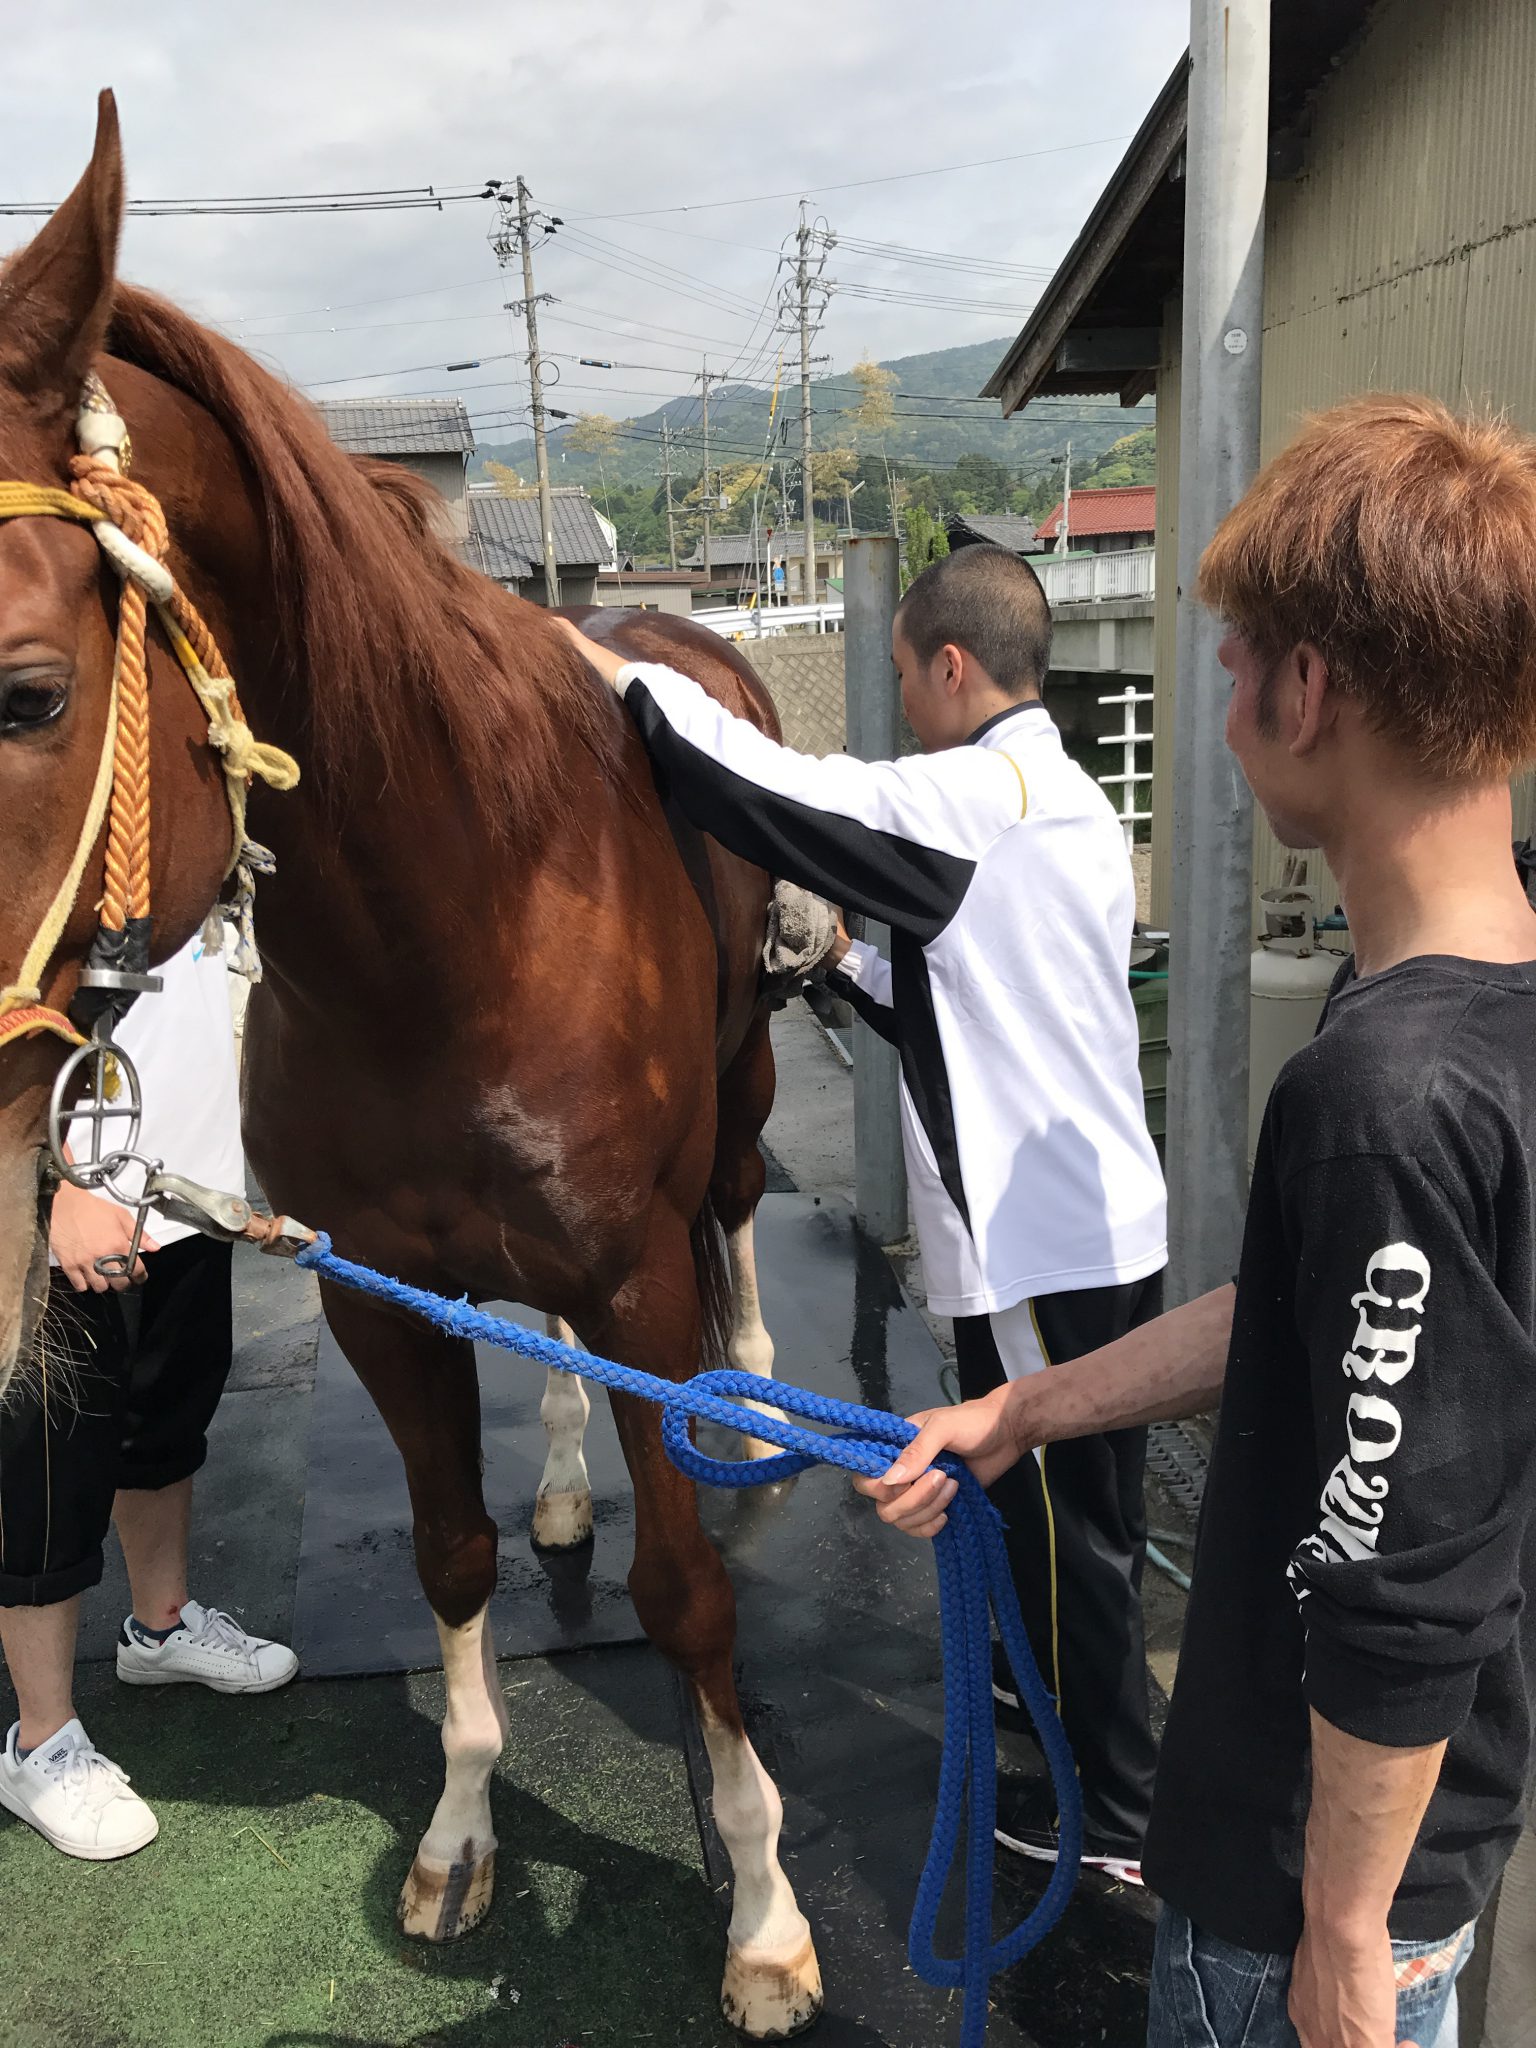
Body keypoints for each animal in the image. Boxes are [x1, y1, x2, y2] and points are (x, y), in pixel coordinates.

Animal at [0, 92, 823, 2031]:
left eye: (30, 695)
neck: (457, 927)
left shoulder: (633, 1275)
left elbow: (689, 1594)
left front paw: (761, 1908)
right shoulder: (375, 1287)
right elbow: (451, 1557)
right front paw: (457, 1833)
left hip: (737, 1110)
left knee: (742, 1214)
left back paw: (752, 1382)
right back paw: (565, 1472)